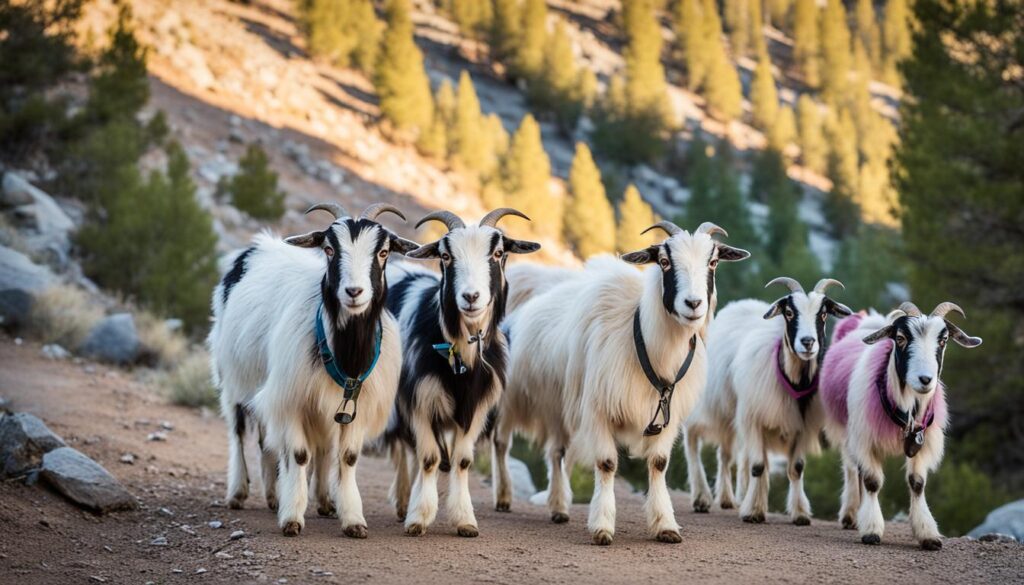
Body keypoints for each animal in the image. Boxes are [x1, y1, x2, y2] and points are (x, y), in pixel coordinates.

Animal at [209, 202, 418, 537]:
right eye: (329, 249)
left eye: (384, 252)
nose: (354, 291)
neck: (346, 354)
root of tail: (259, 246)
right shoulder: (292, 399)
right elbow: (299, 454)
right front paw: (292, 516)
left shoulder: (353, 408)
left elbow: (346, 457)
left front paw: (352, 518)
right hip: (234, 378)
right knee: (239, 431)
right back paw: (239, 492)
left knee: (286, 444)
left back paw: (298, 498)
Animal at [384, 208, 541, 537]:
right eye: (445, 256)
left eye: (498, 253)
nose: (471, 297)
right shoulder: (419, 400)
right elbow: (429, 457)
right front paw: (419, 517)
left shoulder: (476, 407)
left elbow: (462, 460)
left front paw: (464, 519)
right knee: (403, 449)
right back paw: (403, 501)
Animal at [493, 221, 750, 545]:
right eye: (664, 261)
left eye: (713, 262)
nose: (693, 304)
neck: (642, 339)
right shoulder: (599, 408)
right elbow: (607, 464)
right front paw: (602, 526)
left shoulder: (667, 414)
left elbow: (658, 464)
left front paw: (665, 524)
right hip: (515, 396)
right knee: (502, 442)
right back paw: (503, 496)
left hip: (558, 404)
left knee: (556, 451)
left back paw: (559, 507)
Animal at [683, 277, 852, 526]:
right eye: (789, 312)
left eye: (823, 314)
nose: (808, 342)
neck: (795, 381)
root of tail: (739, 304)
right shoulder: (755, 419)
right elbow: (758, 466)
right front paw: (753, 512)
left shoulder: (801, 426)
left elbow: (796, 468)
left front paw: (799, 513)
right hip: (710, 405)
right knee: (693, 442)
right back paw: (701, 498)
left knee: (726, 454)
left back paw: (729, 498)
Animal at [821, 302, 981, 549]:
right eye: (900, 338)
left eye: (943, 340)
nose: (925, 379)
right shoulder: (866, 438)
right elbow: (872, 482)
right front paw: (871, 530)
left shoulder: (922, 444)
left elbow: (917, 483)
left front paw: (927, 534)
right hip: (847, 429)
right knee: (851, 468)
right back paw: (850, 514)